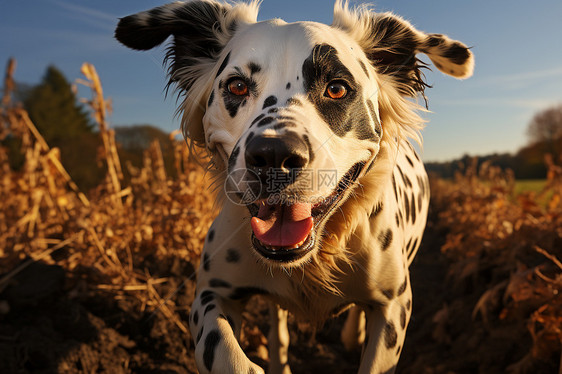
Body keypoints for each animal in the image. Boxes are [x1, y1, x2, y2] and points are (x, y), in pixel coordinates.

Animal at [115, 1, 472, 372]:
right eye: (237, 86)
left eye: (337, 88)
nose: (274, 156)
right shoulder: (211, 293)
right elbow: (224, 353)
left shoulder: (393, 307)